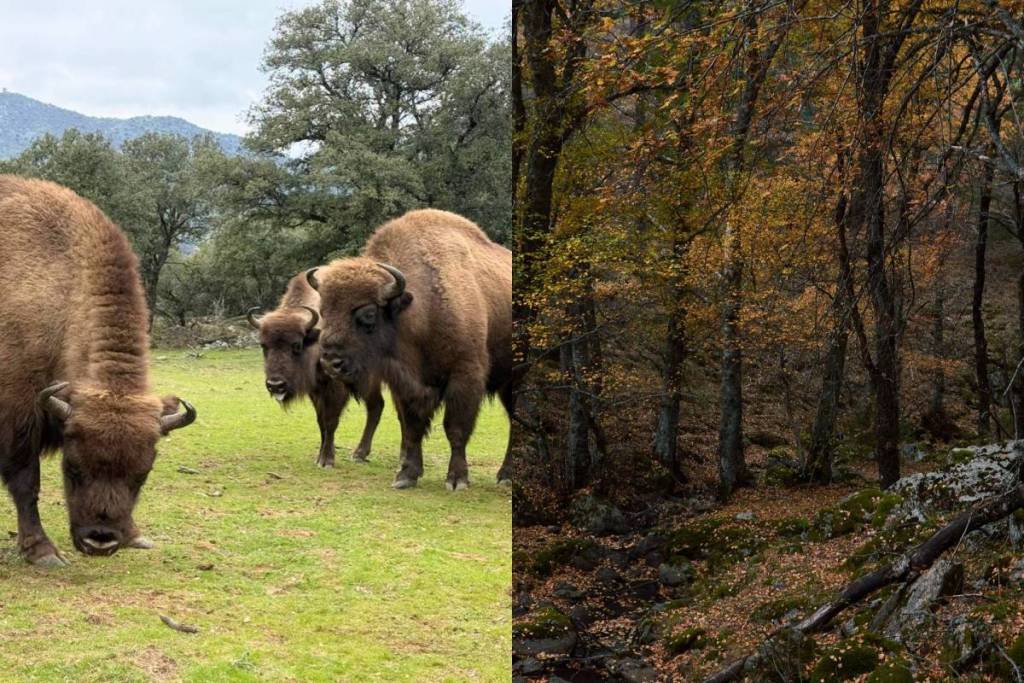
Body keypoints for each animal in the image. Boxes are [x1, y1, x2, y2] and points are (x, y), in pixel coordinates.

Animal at [0, 176, 196, 565]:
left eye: (142, 473)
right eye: (73, 468)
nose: (100, 540)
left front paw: (136, 536)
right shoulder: (19, 418)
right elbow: (26, 482)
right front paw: (42, 551)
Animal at [248, 272, 384, 466]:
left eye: (297, 345)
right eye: (263, 345)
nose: (275, 385)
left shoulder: (336, 388)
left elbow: (331, 421)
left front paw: (326, 460)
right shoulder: (316, 390)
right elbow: (321, 422)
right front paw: (319, 456)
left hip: (369, 381)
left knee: (375, 407)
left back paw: (359, 453)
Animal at [308, 209, 512, 490]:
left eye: (368, 314)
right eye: (324, 311)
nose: (330, 362)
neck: (418, 310)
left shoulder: (466, 375)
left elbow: (455, 429)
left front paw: (457, 480)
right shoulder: (404, 384)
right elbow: (412, 427)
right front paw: (405, 476)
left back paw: (506, 475)